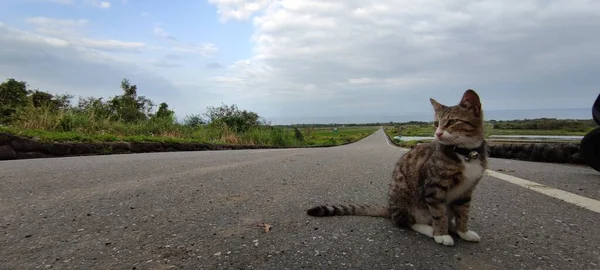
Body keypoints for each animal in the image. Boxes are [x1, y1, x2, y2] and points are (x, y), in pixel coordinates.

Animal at [304, 89, 488, 247]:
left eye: (452, 122)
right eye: (436, 123)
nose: (438, 133)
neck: (465, 153)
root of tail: (390, 208)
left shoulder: (467, 191)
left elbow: (463, 212)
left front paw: (463, 232)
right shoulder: (433, 188)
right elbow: (438, 213)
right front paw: (441, 234)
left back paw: (452, 227)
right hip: (403, 194)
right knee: (406, 221)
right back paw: (431, 230)